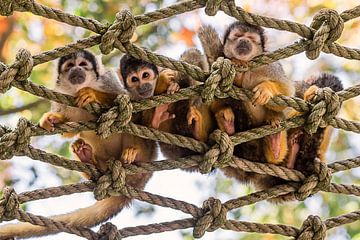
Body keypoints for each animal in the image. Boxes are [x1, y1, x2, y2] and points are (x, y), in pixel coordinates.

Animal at [0, 50, 179, 238]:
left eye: (83, 64)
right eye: (70, 65)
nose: (77, 69)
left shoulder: (108, 79)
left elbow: (129, 104)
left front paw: (92, 94)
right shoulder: (61, 94)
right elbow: (68, 131)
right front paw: (52, 119)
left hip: (148, 149)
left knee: (129, 123)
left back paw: (135, 150)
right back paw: (87, 158)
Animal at [197, 22, 296, 165]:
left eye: (251, 38)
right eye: (238, 35)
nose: (244, 40)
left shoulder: (270, 65)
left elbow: (287, 92)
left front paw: (267, 89)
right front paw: (238, 67)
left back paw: (275, 141)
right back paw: (227, 123)